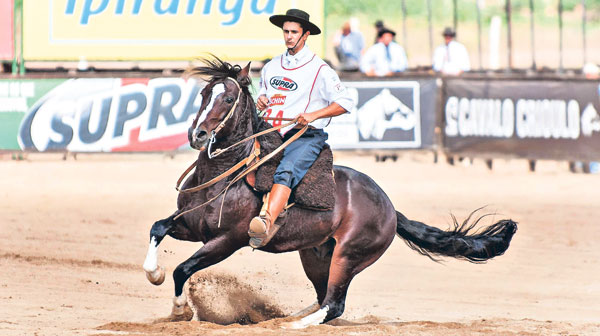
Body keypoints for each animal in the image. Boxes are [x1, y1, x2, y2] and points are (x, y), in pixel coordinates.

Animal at [141, 57, 516, 328]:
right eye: (204, 94)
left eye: (229, 97)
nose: (198, 135)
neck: (225, 173)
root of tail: (390, 208)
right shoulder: (189, 225)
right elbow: (157, 229)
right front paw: (154, 274)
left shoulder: (227, 240)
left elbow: (184, 269)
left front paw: (179, 309)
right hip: (316, 253)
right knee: (324, 299)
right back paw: (288, 317)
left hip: (349, 256)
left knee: (335, 304)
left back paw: (292, 325)